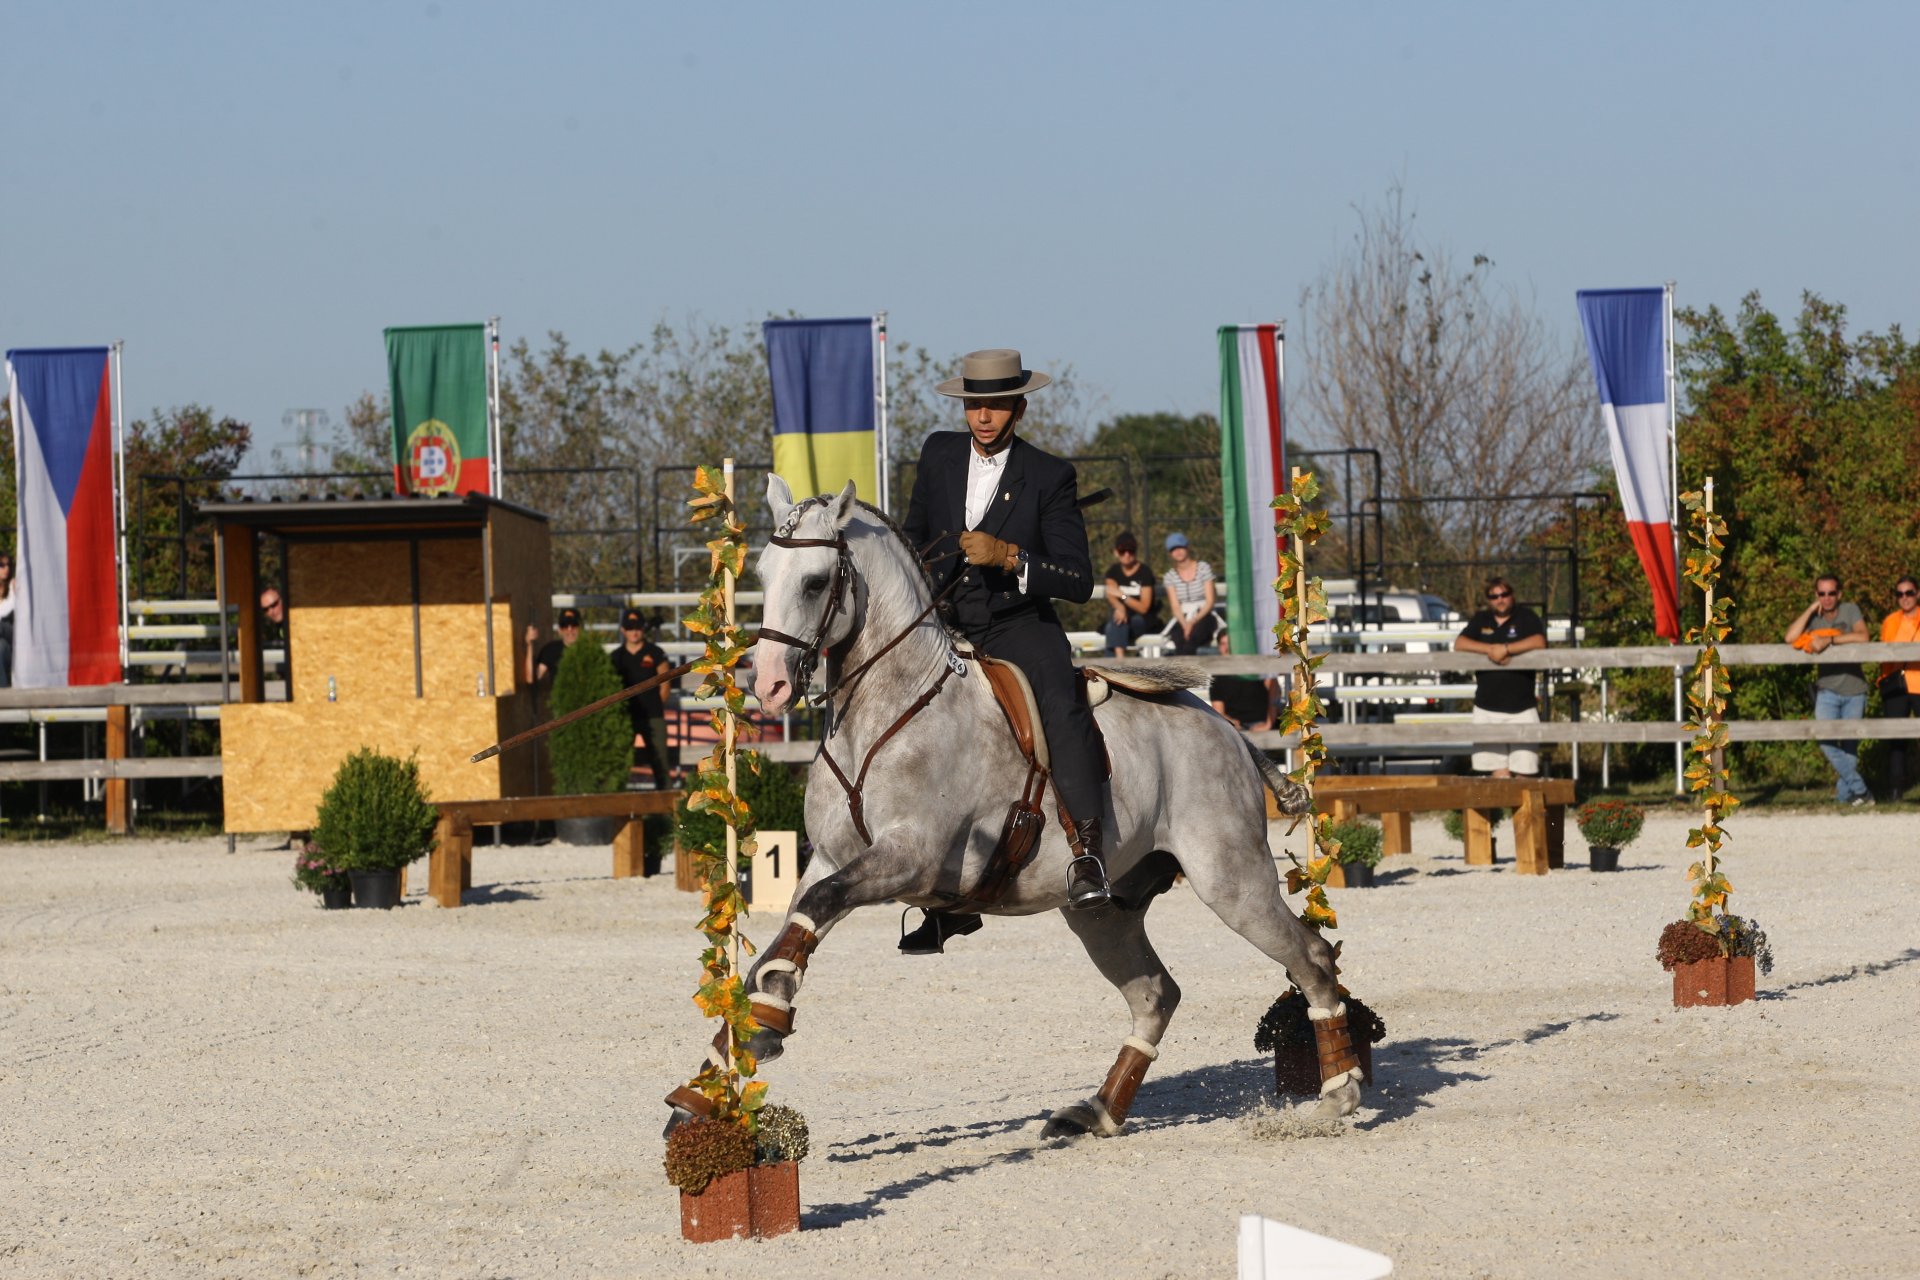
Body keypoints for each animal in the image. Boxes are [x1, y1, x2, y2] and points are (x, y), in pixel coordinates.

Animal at [668, 479, 1359, 1143]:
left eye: (814, 582)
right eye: (761, 575)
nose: (770, 685)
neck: (886, 705)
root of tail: (1227, 728)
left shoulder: (909, 857)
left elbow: (813, 910)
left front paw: (765, 1019)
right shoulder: (833, 858)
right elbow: (792, 927)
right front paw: (727, 1061)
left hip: (1230, 881)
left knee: (1311, 959)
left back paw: (1337, 1099)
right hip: (1103, 911)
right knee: (1155, 994)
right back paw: (1095, 1114)